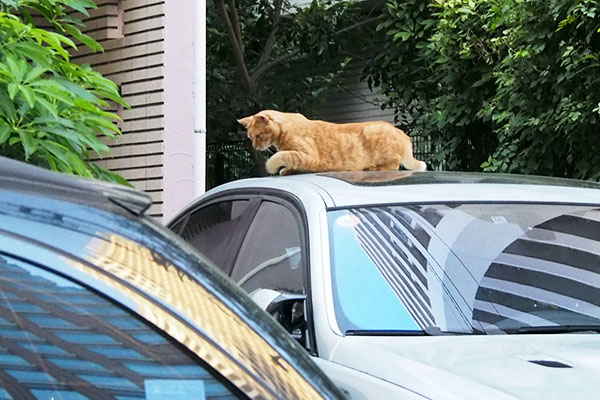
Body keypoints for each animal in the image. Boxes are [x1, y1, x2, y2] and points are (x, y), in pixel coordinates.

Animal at [236, 109, 426, 175]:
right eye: (250, 137)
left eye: (258, 136)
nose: (254, 146)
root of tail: (400, 132)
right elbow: (288, 159)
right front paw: (287, 170)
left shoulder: (309, 157)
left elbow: (283, 155)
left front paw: (273, 167)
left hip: (377, 138)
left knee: (393, 166)